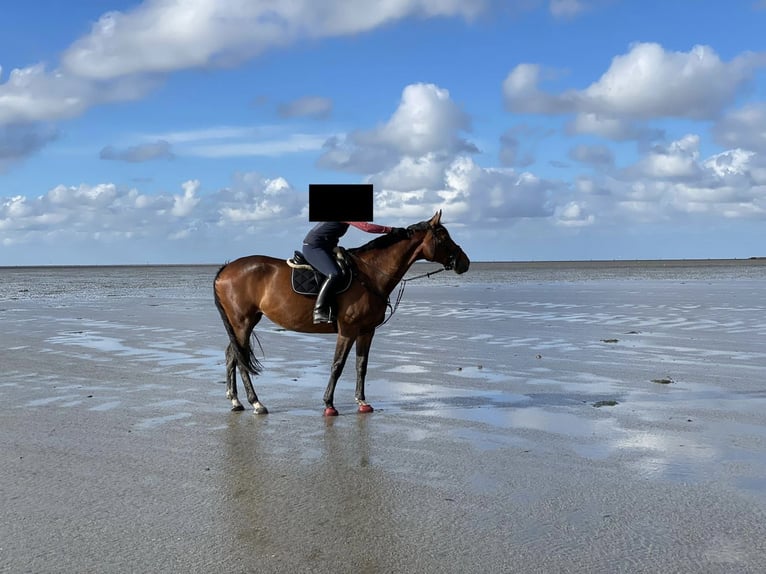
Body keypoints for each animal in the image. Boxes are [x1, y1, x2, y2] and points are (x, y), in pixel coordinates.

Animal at [213, 210, 470, 416]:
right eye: (444, 236)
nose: (465, 262)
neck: (370, 275)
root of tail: (226, 268)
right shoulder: (347, 330)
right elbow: (337, 365)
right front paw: (329, 404)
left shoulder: (366, 331)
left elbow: (361, 366)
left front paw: (362, 402)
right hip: (242, 322)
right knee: (240, 359)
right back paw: (256, 403)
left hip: (245, 323)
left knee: (231, 355)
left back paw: (236, 401)